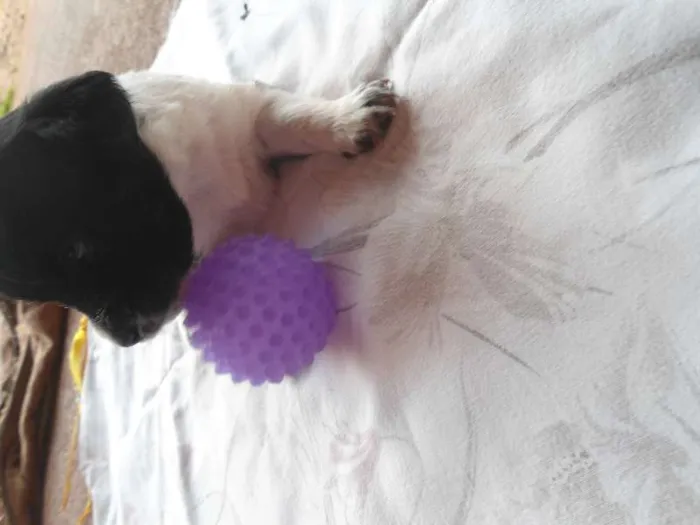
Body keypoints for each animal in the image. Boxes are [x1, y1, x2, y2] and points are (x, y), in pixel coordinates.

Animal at [0, 71, 397, 346]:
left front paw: (348, 117)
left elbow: (285, 118)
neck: (193, 199)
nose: (127, 339)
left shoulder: (240, 113)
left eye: (76, 251)